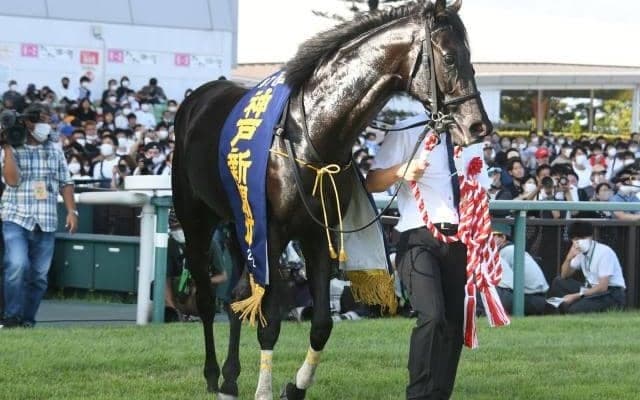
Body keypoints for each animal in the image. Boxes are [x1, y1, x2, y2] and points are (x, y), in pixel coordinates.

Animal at [171, 0, 492, 399]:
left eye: (470, 57)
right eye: (449, 57)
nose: (478, 126)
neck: (309, 135)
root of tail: (196, 100)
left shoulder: (317, 232)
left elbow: (322, 323)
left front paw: (294, 387)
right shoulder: (272, 233)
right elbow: (270, 321)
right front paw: (264, 390)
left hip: (240, 222)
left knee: (236, 296)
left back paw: (230, 379)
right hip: (198, 220)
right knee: (205, 298)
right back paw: (215, 374)